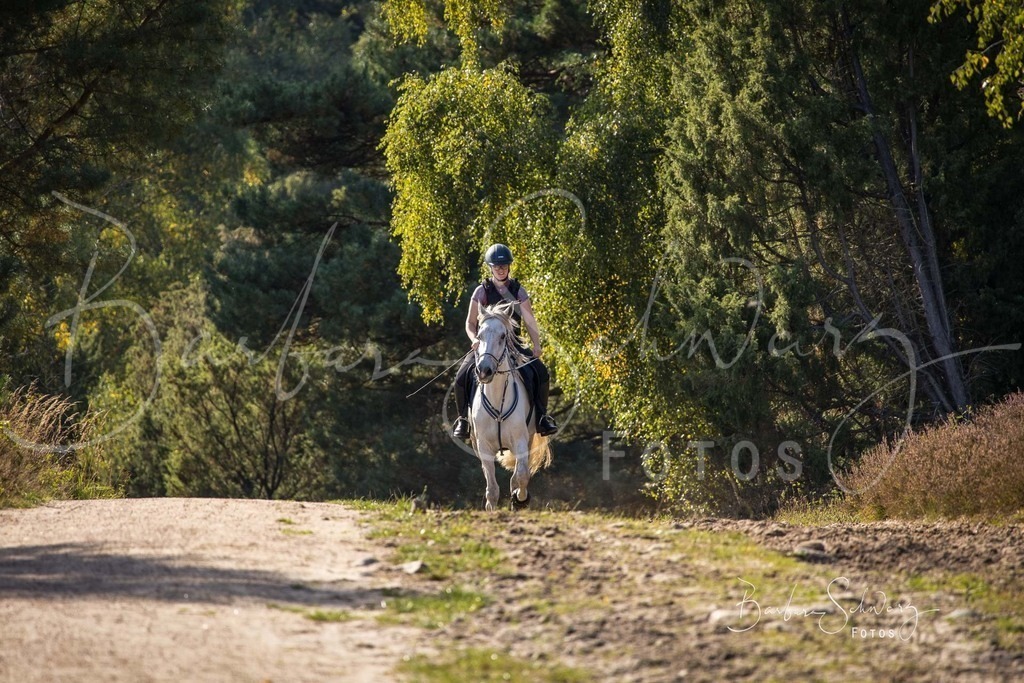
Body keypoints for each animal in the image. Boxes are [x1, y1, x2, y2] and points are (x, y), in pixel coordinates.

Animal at [471, 302, 552, 511]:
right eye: (479, 336)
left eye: (502, 336)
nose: (484, 370)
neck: (497, 398)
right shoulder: (484, 447)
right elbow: (492, 489)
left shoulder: (521, 442)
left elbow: (521, 476)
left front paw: (520, 499)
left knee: (518, 475)